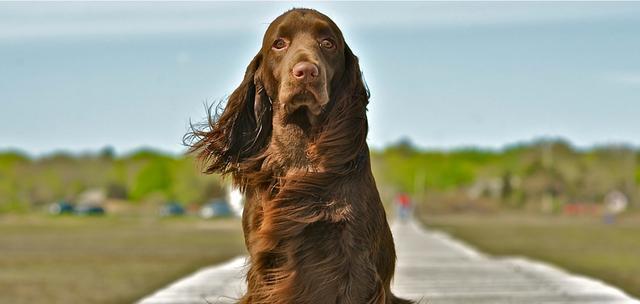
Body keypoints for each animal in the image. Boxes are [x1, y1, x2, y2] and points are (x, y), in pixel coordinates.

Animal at [188, 8, 412, 304]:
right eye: (279, 43)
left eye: (328, 43)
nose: (306, 72)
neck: (301, 153)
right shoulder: (266, 266)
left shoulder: (354, 259)